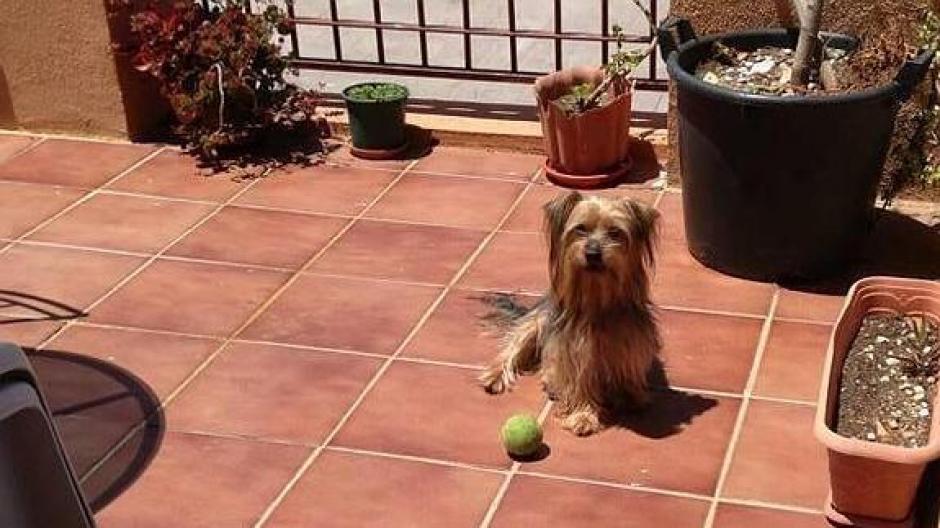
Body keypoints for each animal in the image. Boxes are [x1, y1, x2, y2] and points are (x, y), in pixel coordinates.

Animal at [484, 192, 660, 436]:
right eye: (581, 229)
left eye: (615, 232)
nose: (593, 253)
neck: (597, 296)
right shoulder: (573, 350)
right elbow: (579, 381)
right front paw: (583, 416)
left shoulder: (630, 340)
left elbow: (627, 365)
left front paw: (630, 395)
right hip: (536, 323)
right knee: (513, 347)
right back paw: (496, 375)